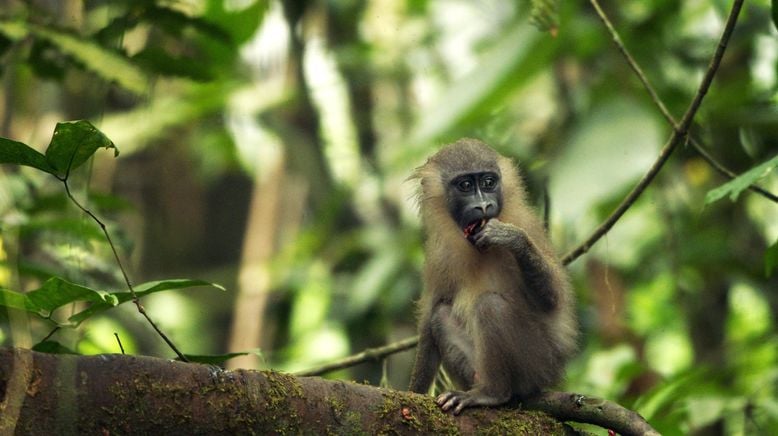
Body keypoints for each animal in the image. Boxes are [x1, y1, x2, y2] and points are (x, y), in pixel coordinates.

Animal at [406, 140, 576, 416]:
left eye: (488, 182)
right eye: (465, 185)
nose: (484, 206)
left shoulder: (526, 223)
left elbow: (554, 300)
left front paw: (512, 239)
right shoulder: (438, 255)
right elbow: (429, 318)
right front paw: (413, 394)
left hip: (537, 363)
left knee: (490, 306)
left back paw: (492, 394)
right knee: (440, 316)